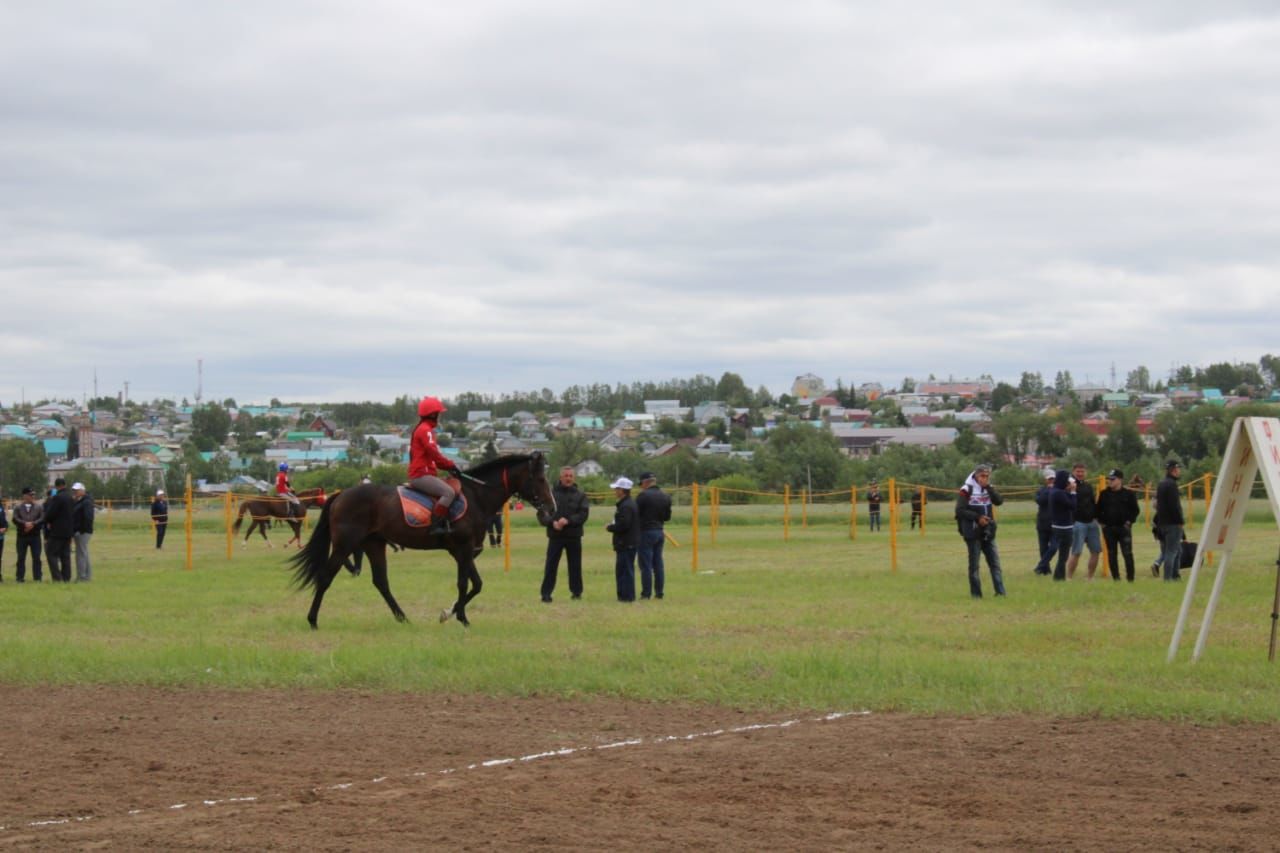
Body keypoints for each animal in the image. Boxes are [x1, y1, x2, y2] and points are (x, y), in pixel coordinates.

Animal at [290, 450, 555, 625]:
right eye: (541, 479)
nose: (551, 509)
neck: (476, 496)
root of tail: (341, 495)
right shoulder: (463, 548)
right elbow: (465, 583)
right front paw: (461, 617)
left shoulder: (466, 552)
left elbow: (476, 584)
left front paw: (450, 613)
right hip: (345, 544)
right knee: (326, 577)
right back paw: (312, 620)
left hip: (374, 544)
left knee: (381, 582)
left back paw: (402, 617)